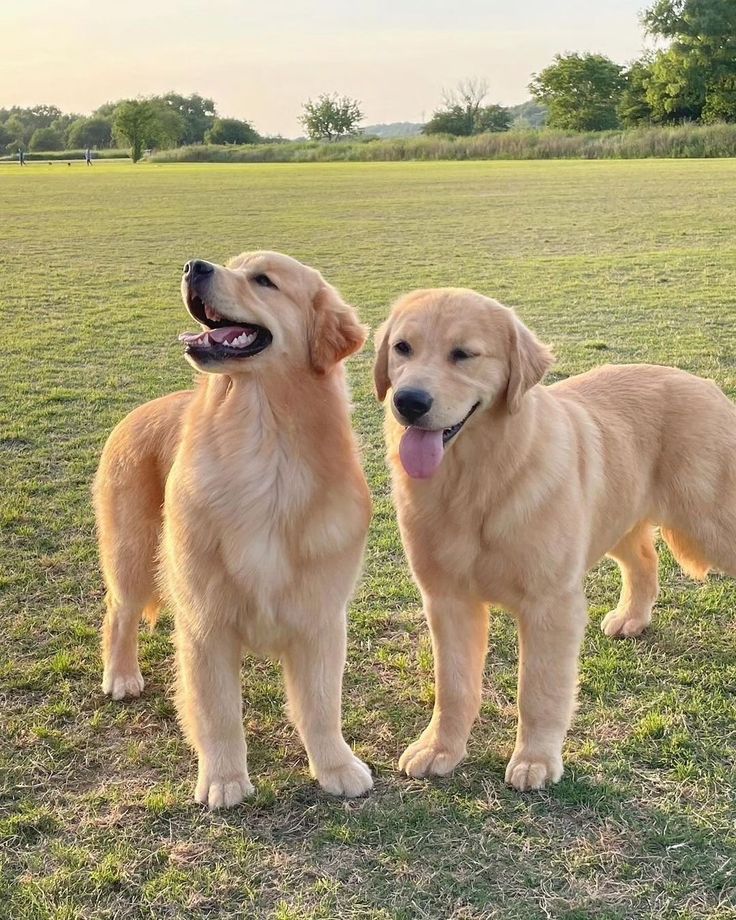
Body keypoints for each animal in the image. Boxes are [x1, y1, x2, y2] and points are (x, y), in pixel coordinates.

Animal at [96, 252, 374, 804]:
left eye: (263, 280)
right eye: (231, 265)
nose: (193, 266)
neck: (263, 452)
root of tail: (138, 411)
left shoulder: (320, 619)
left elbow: (321, 708)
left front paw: (336, 767)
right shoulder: (205, 624)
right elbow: (218, 712)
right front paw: (224, 780)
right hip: (133, 557)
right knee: (119, 614)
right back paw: (121, 675)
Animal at [374, 288, 736, 792]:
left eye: (463, 354)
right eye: (402, 348)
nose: (408, 401)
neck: (476, 481)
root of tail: (707, 384)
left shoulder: (550, 602)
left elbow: (539, 690)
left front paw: (536, 760)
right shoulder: (446, 600)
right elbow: (454, 686)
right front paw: (440, 749)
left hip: (710, 521)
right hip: (616, 517)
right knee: (645, 561)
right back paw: (632, 618)